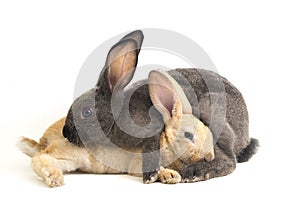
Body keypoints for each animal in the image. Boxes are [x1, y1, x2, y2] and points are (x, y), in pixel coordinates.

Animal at [18, 69, 213, 187]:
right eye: (188, 135)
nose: (210, 157)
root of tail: (43, 142)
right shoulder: (139, 162)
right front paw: (170, 176)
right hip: (72, 154)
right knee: (40, 158)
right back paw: (54, 178)